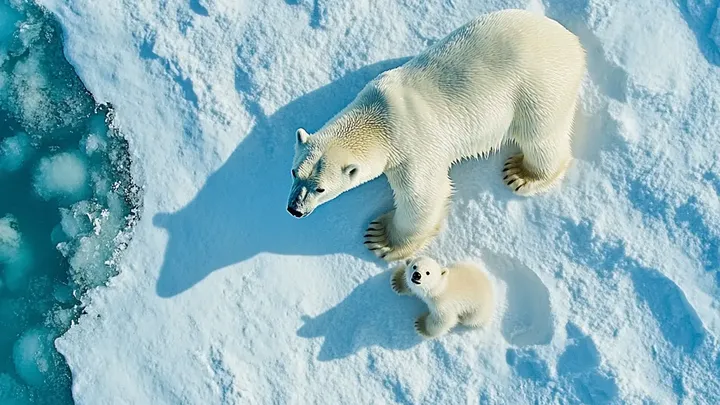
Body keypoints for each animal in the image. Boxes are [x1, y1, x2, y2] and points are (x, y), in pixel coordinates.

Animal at [286, 9, 587, 261]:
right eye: (294, 172)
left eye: (321, 188)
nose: (294, 210)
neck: (379, 116)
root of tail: (572, 42)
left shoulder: (412, 148)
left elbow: (424, 194)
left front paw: (381, 238)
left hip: (537, 86)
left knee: (540, 134)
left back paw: (522, 173)